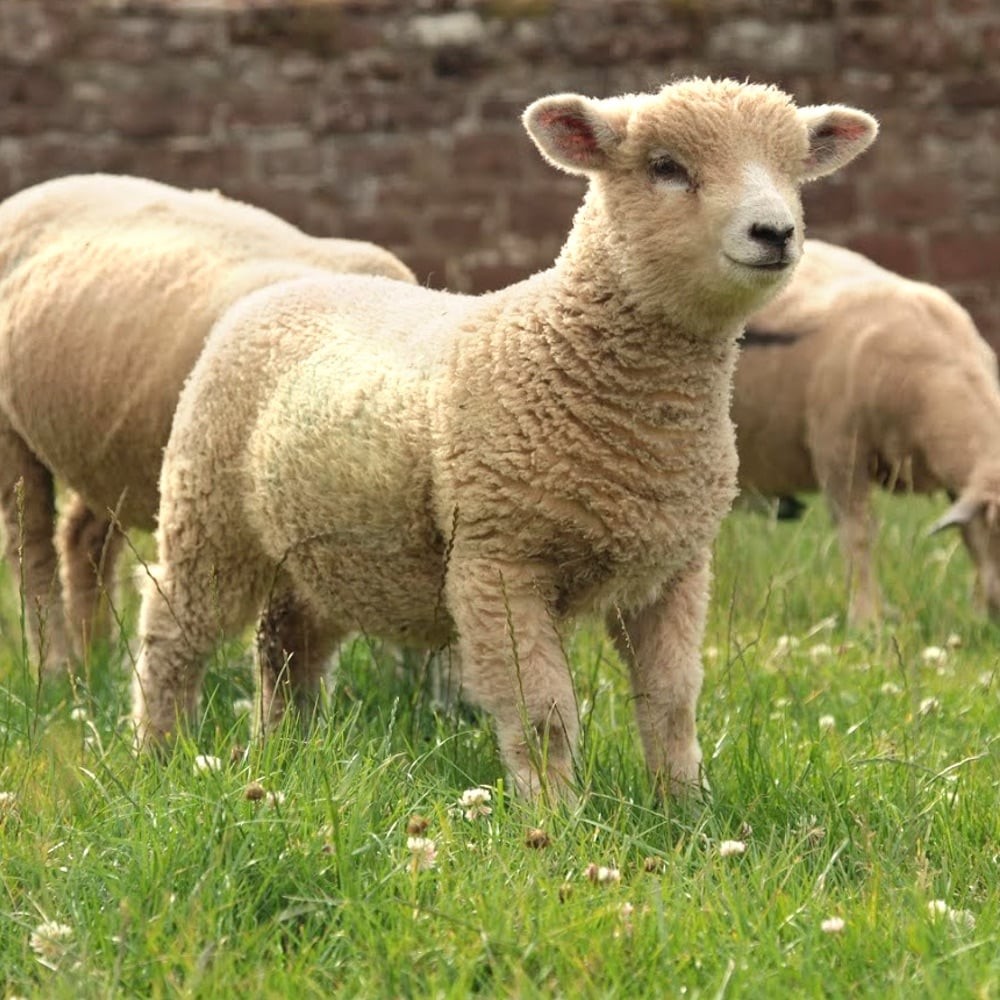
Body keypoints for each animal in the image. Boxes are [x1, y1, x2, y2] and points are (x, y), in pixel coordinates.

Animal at [0, 172, 414, 672]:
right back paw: (58, 666)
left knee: (83, 536)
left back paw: (97, 655)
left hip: (106, 445)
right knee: (30, 547)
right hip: (10, 433)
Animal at [131, 78, 876, 796]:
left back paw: (284, 749)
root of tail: (288, 288)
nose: (775, 232)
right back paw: (159, 754)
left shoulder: (675, 568)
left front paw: (686, 811)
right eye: (666, 167)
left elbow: (672, 704)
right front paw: (556, 818)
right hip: (209, 511)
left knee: (287, 646)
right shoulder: (500, 560)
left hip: (322, 548)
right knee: (173, 632)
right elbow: (543, 714)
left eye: (793, 171)